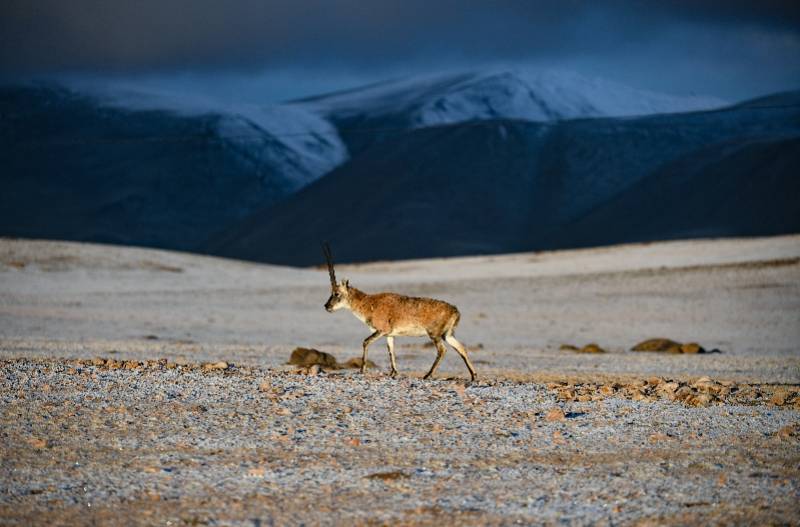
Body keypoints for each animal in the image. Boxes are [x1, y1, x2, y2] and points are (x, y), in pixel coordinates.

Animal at [322, 243, 478, 380]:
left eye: (336, 293)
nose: (327, 306)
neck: (368, 303)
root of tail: (455, 310)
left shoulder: (381, 330)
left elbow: (365, 342)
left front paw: (362, 369)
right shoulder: (389, 335)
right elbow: (391, 351)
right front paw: (394, 372)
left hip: (435, 335)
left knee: (442, 350)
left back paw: (427, 375)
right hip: (447, 335)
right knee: (461, 348)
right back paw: (473, 377)